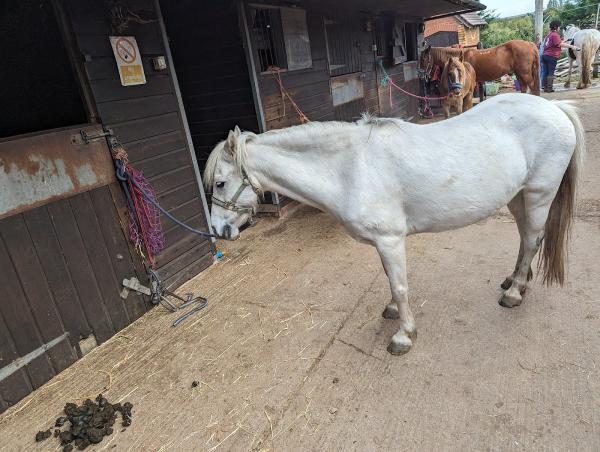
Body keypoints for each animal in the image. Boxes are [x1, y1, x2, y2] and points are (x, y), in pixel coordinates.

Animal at [204, 94, 584, 356]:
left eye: (220, 183)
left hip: (538, 195)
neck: (349, 167)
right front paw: (390, 311)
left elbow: (401, 287)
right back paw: (515, 279)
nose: (219, 231)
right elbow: (391, 281)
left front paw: (404, 335)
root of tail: (554, 107)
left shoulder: (390, 240)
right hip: (518, 197)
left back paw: (514, 292)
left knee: (533, 239)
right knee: (524, 238)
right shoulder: (383, 243)